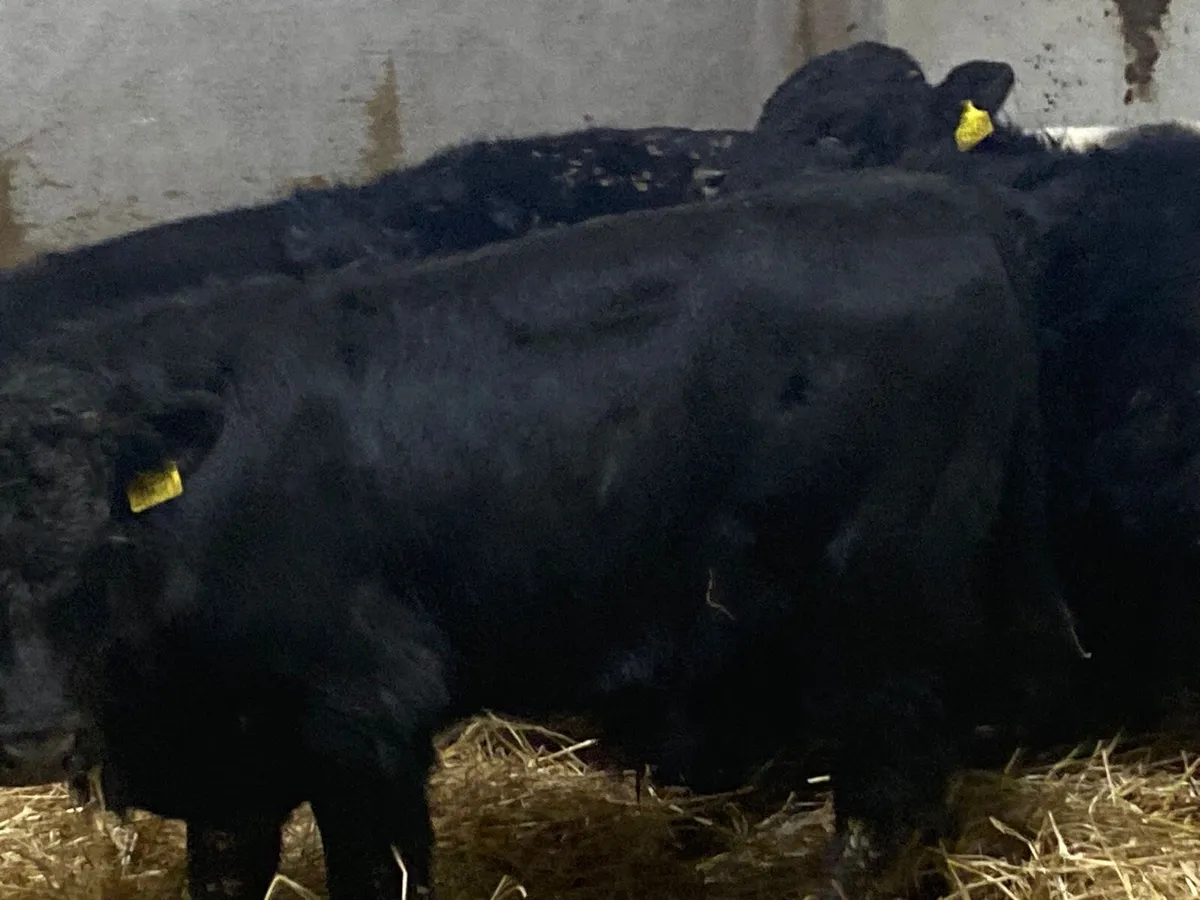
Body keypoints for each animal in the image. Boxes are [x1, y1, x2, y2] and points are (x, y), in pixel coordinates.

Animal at [21, 168, 1081, 899]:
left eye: (97, 548)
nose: (29, 734)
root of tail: (942, 203)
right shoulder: (229, 763)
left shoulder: (363, 713)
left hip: (880, 603)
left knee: (886, 791)